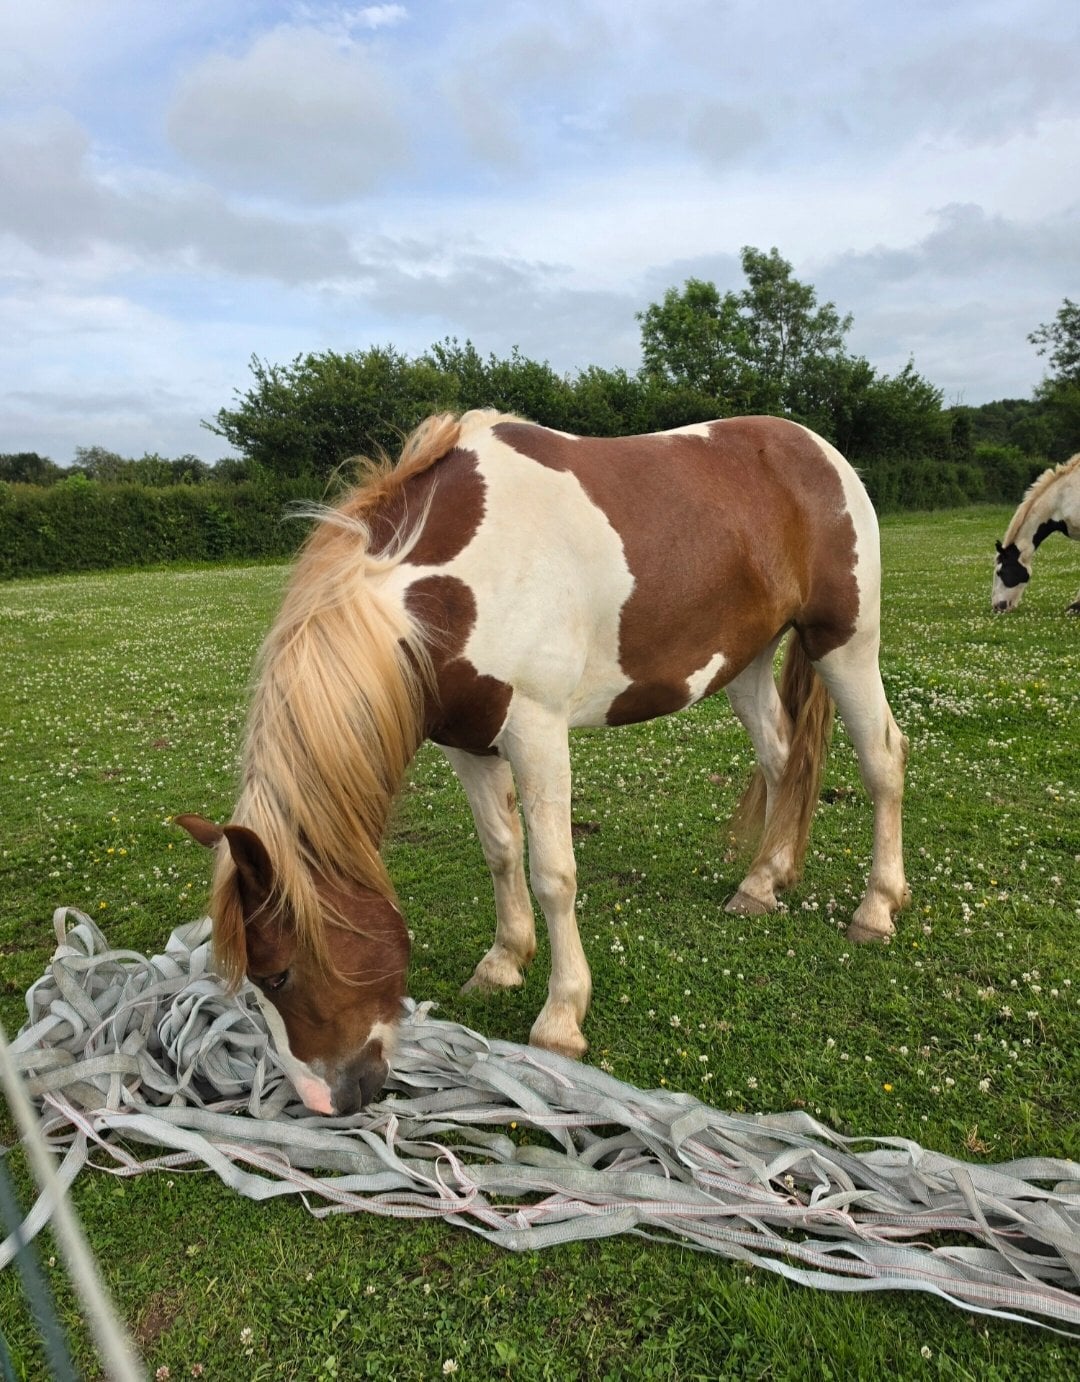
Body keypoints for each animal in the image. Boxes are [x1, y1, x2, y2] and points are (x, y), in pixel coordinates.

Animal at [177, 410, 910, 1116]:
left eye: (278, 973)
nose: (326, 1101)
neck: (459, 585)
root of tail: (815, 449)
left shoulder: (537, 730)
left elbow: (553, 873)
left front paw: (561, 1018)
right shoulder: (468, 740)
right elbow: (501, 852)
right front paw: (502, 962)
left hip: (845, 641)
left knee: (883, 762)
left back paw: (875, 909)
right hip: (746, 661)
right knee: (783, 761)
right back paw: (762, 882)